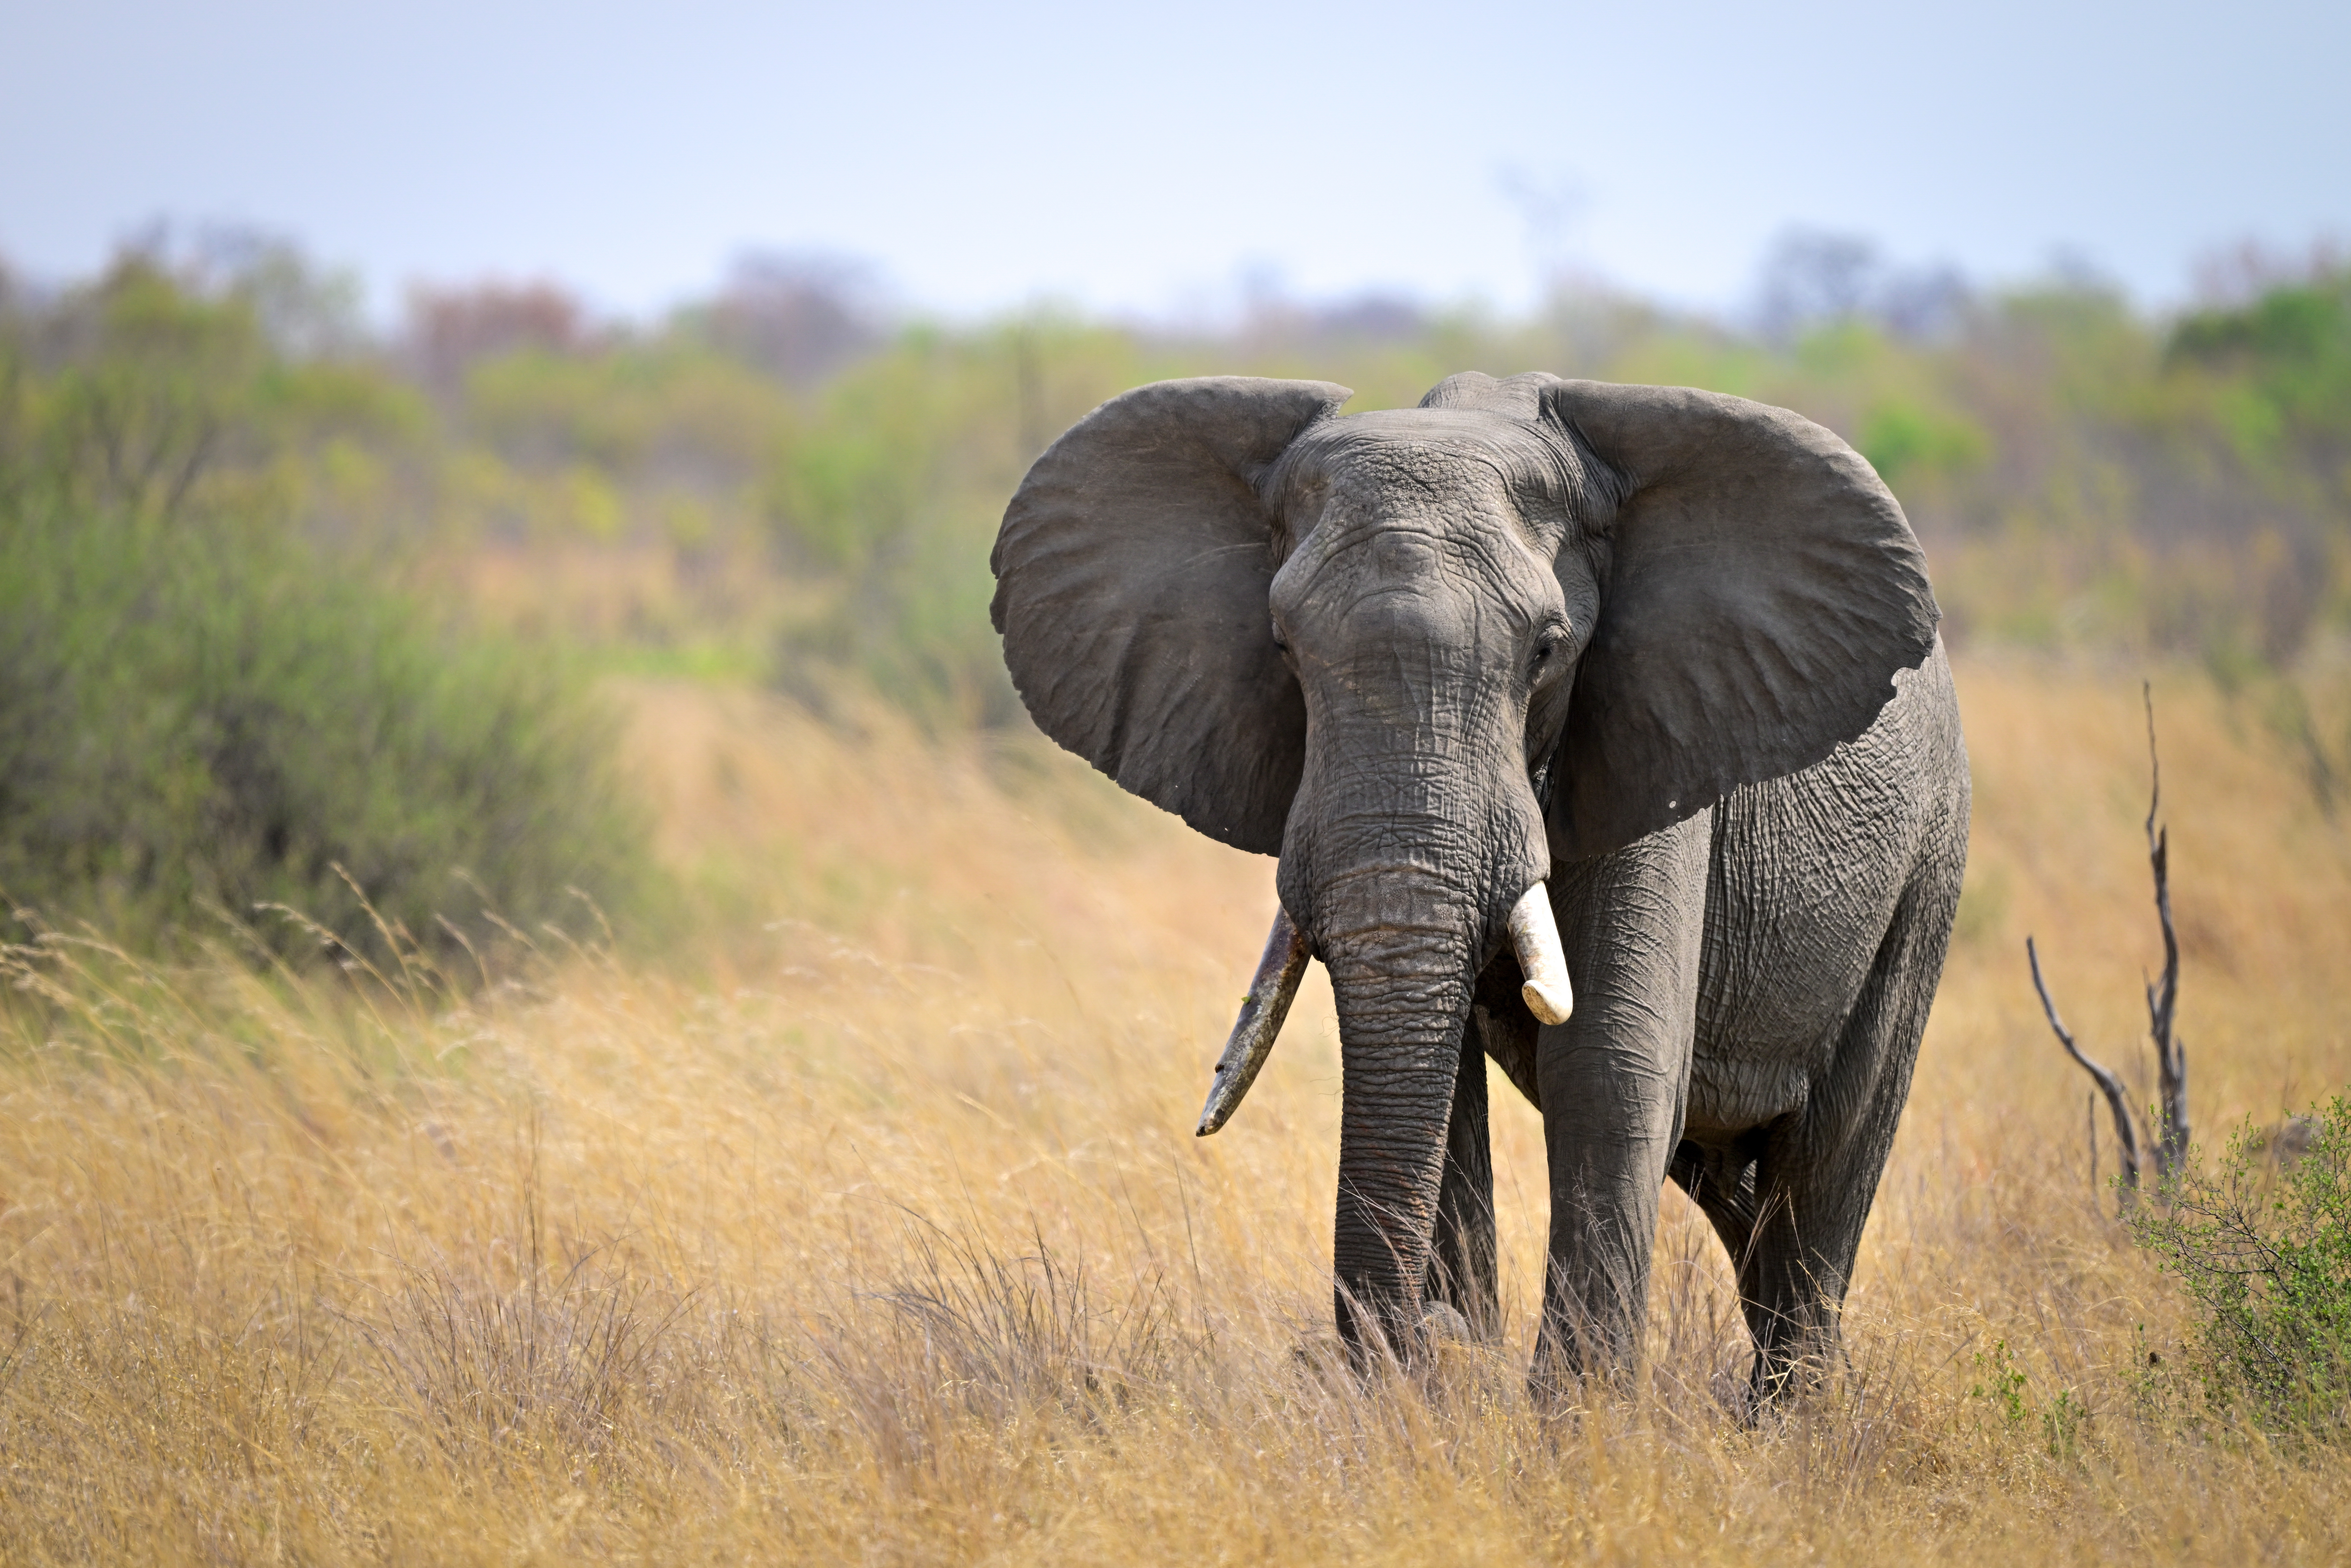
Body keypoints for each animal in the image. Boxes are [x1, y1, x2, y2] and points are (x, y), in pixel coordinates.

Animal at [988, 370, 1969, 1396]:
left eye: (1546, 650)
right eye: (1283, 647)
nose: (1429, 1339)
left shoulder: (1657, 738)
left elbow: (1610, 1064)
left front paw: (1576, 1418)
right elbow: (1446, 1085)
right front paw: (1452, 1384)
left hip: (1926, 867)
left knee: (1828, 1159)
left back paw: (1795, 1415)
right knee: (1738, 1194)